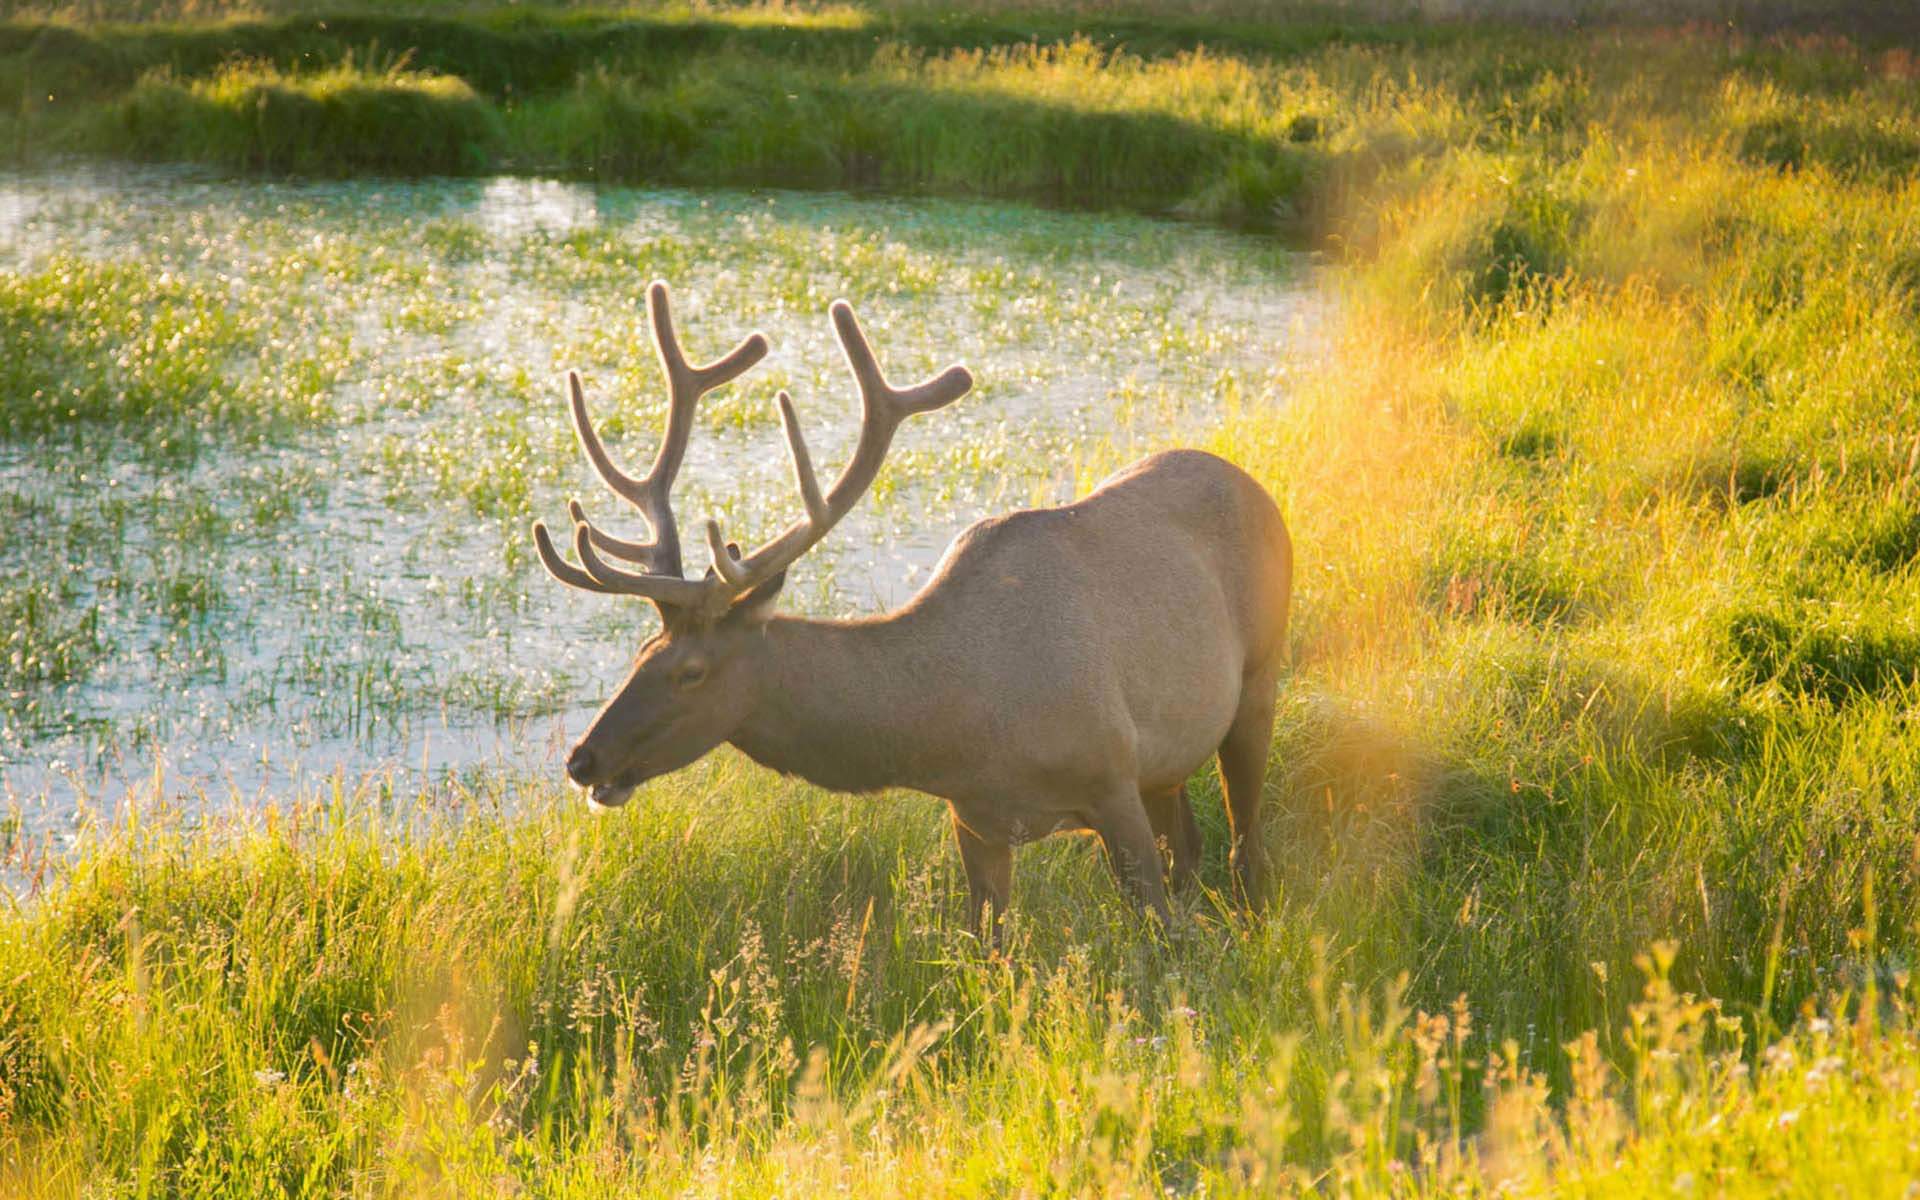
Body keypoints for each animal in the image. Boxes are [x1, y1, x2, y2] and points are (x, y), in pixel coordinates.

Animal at [533, 281, 1291, 935]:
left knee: (1244, 846)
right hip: (1169, 758)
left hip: (1259, 677)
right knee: (1191, 847)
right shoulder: (975, 819)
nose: (583, 760)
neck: (958, 729)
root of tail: (1251, 481)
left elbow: (1158, 939)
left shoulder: (1111, 775)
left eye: (690, 671)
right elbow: (989, 949)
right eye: (640, 652)